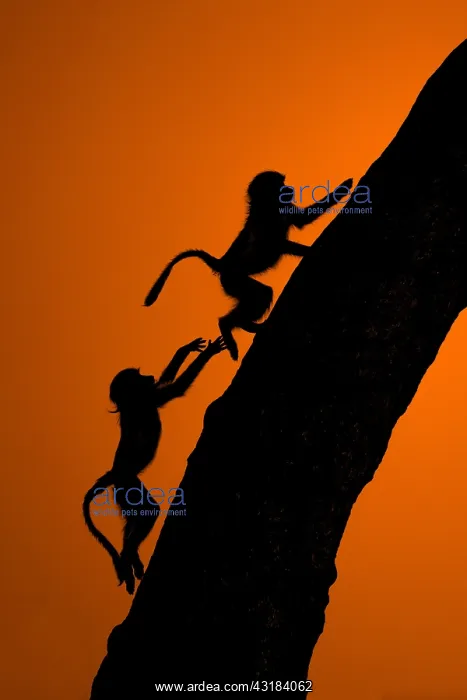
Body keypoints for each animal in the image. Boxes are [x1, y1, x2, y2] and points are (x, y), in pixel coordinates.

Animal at [83, 335, 227, 594]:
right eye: (138, 375)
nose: (147, 375)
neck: (131, 401)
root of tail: (113, 472)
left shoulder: (147, 395)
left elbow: (166, 381)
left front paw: (186, 349)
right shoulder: (147, 399)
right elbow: (176, 388)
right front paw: (209, 352)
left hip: (123, 490)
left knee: (135, 517)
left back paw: (129, 557)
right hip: (128, 485)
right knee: (148, 511)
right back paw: (128, 555)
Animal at [143, 171, 353, 360]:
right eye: (280, 184)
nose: (289, 189)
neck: (268, 205)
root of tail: (221, 263)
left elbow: (303, 220)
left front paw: (345, 187)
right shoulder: (268, 221)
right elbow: (278, 244)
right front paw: (311, 251)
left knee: (262, 294)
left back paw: (247, 326)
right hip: (233, 281)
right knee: (258, 296)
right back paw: (228, 326)